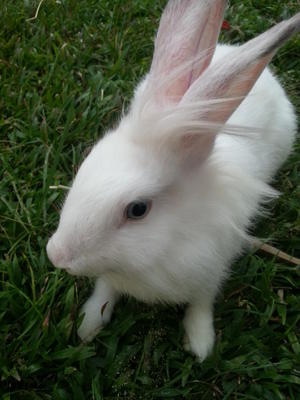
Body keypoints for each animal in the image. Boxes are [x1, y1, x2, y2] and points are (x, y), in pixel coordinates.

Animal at [45, 0, 298, 360]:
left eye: (137, 209)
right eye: (85, 166)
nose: (57, 255)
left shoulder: (211, 269)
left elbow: (201, 304)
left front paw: (201, 345)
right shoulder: (112, 277)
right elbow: (104, 291)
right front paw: (88, 326)